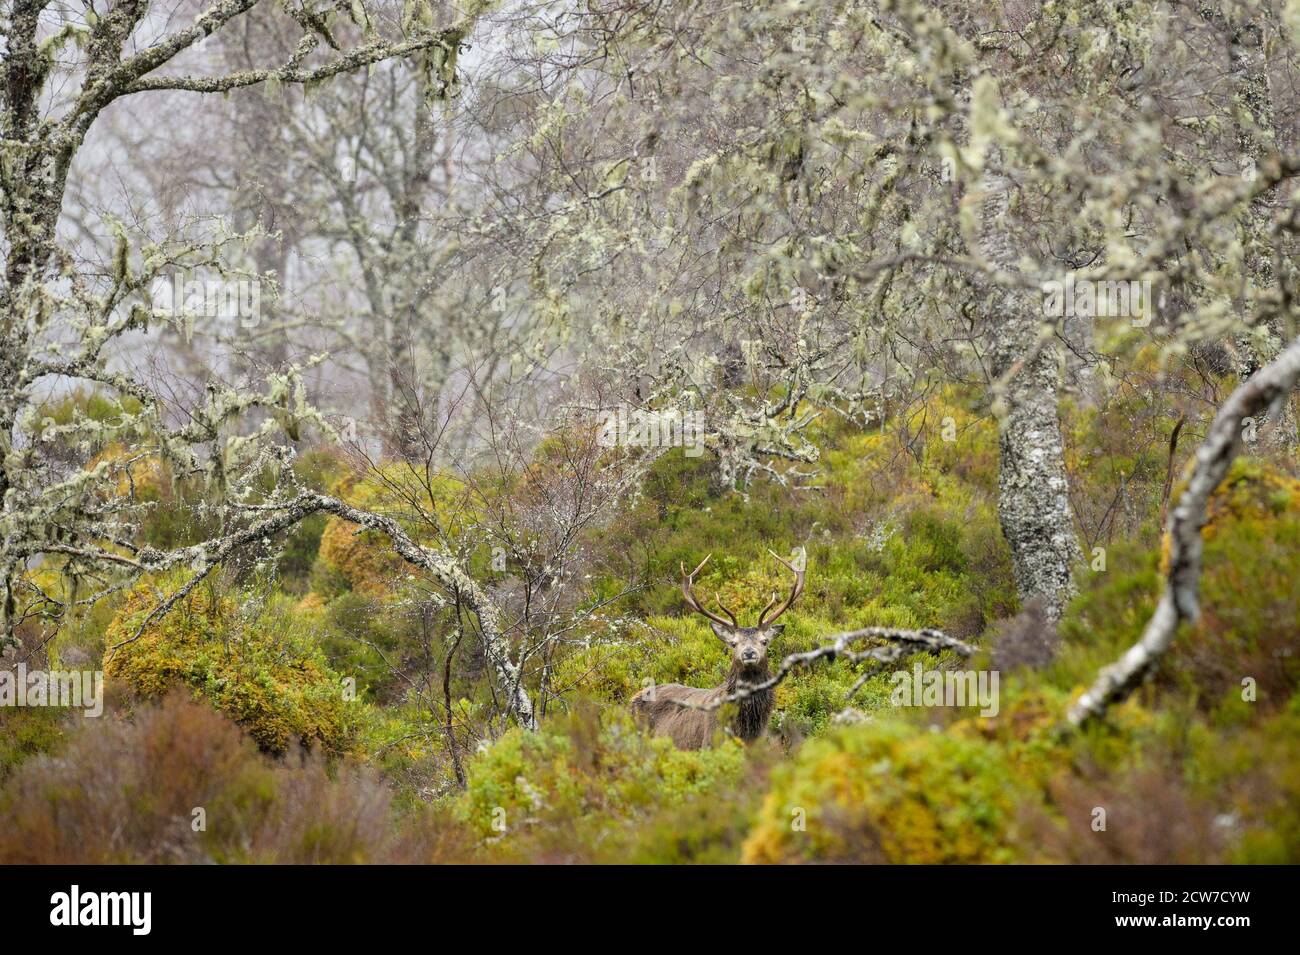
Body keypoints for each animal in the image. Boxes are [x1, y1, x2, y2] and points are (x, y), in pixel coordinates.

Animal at [631, 549, 806, 749]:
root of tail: (632, 699)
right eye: (733, 643)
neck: (747, 731)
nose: (749, 653)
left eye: (764, 641)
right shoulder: (709, 744)